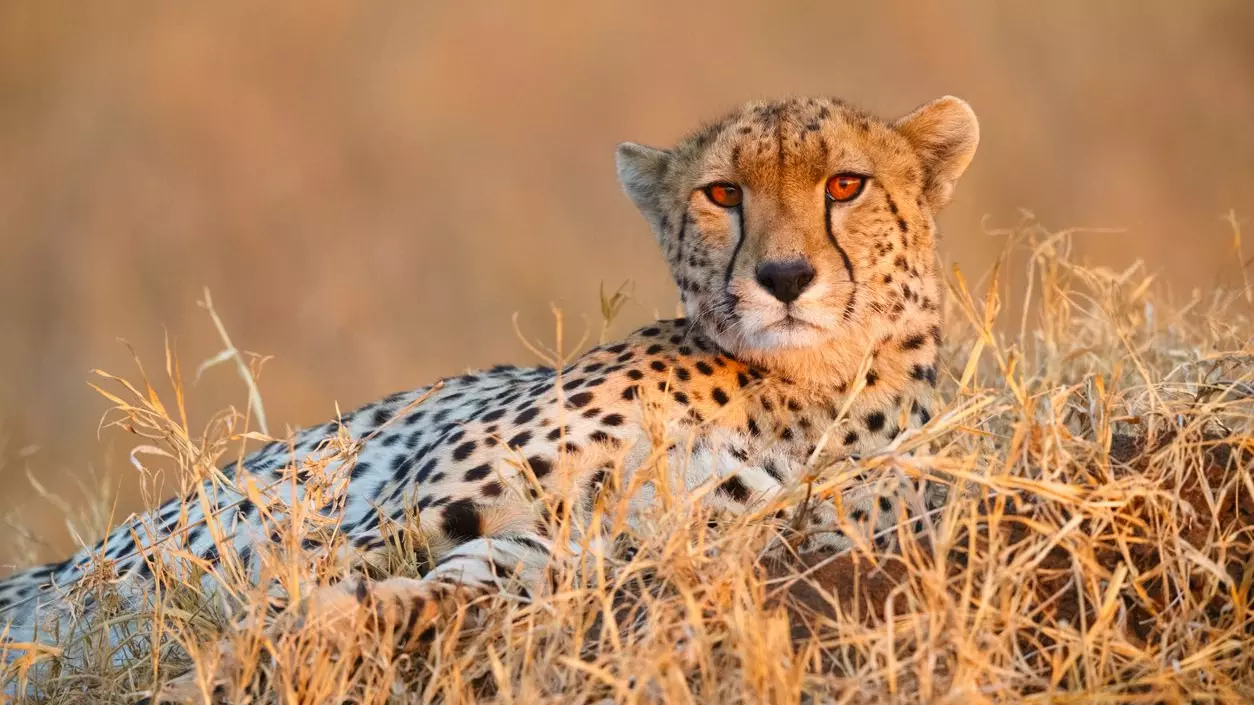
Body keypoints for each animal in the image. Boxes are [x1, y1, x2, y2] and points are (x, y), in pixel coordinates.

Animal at [0, 94, 978, 699]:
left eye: (845, 184)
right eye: (722, 192)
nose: (784, 278)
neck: (796, 391)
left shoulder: (570, 557)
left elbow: (397, 603)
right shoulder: (396, 522)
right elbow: (290, 589)